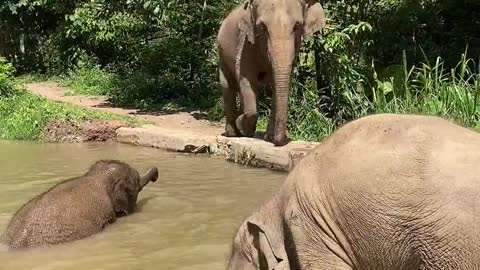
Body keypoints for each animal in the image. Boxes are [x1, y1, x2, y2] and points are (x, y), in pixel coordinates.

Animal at [217, 0, 326, 146]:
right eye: (262, 27)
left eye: (297, 26)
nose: (279, 141)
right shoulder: (246, 44)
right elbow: (246, 79)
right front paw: (241, 124)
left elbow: (277, 85)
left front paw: (268, 138)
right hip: (221, 54)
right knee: (227, 86)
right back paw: (233, 133)